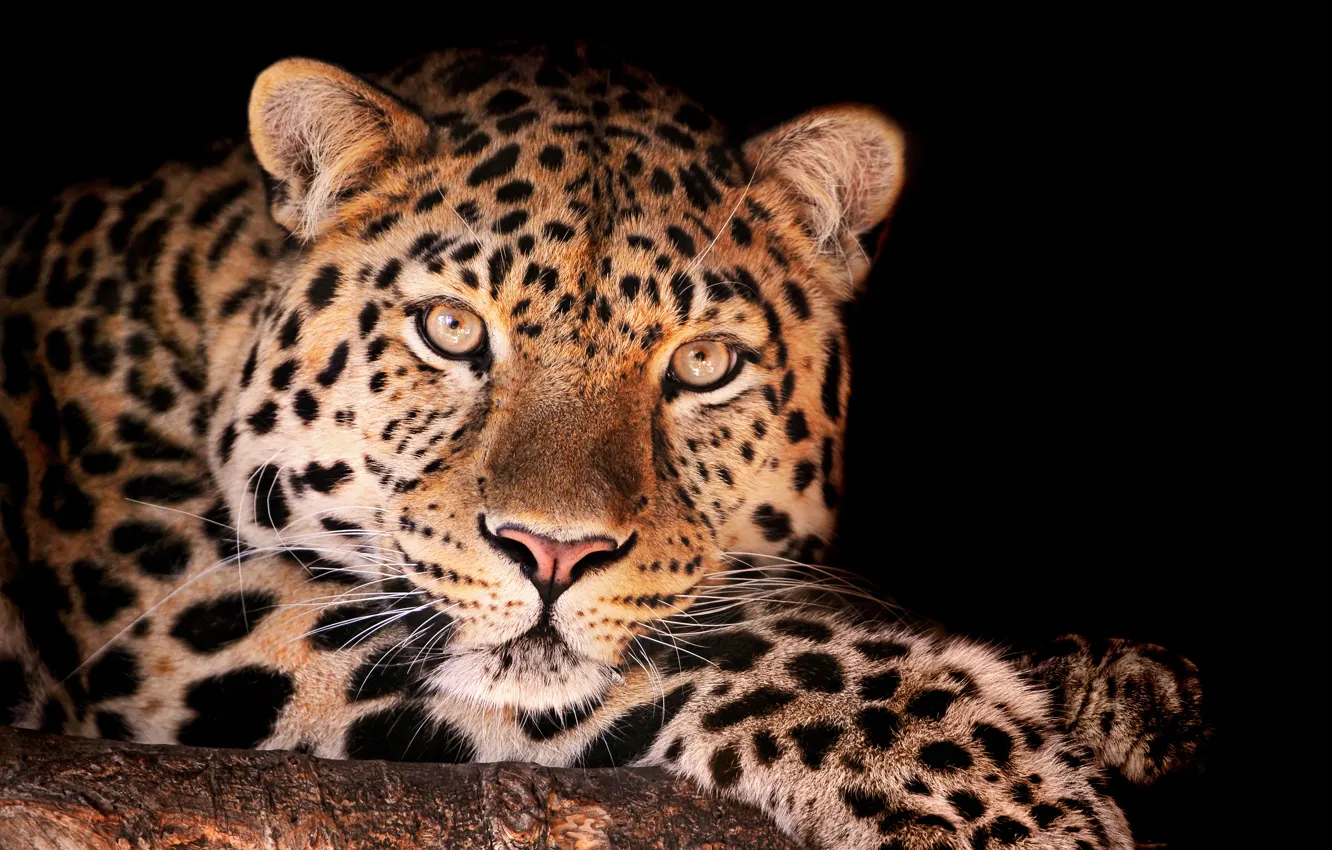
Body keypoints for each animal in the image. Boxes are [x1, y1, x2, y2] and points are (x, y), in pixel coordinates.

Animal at [0, 44, 1206, 849]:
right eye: (452, 330)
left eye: (703, 363)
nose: (553, 553)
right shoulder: (187, 616)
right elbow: (716, 644)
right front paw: (989, 782)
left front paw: (1114, 688)